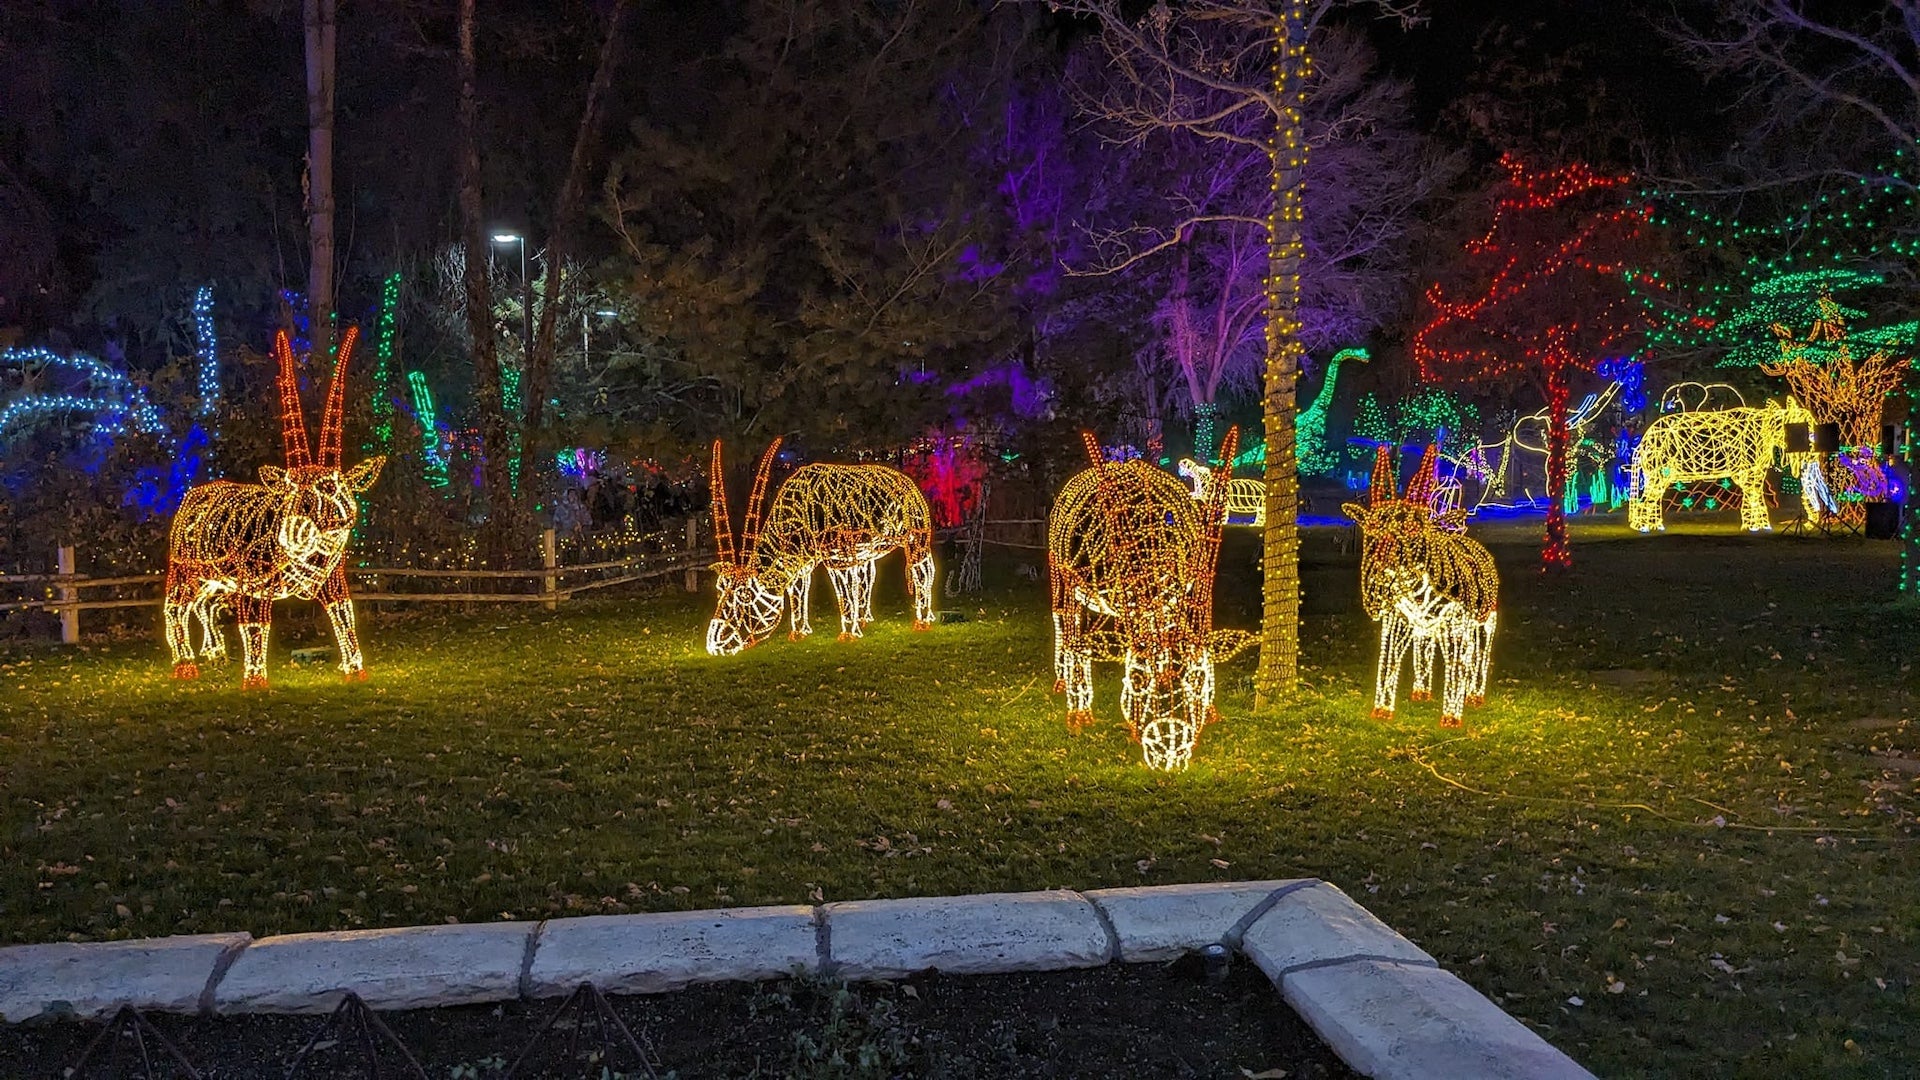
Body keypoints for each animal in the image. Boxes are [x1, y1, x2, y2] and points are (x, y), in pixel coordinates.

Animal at [167, 322, 387, 684]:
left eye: (330, 485)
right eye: (288, 486)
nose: (295, 532)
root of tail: (189, 497)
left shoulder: (333, 583)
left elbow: (345, 620)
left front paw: (354, 669)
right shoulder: (254, 588)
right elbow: (256, 626)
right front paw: (255, 679)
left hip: (217, 581)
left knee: (204, 606)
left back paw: (215, 654)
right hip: (185, 573)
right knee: (176, 609)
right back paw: (184, 664)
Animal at [710, 440, 940, 657]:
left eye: (745, 595)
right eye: (719, 588)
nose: (715, 643)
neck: (801, 510)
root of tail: (908, 483)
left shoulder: (838, 560)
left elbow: (845, 596)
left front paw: (847, 635)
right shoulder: (802, 565)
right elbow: (798, 597)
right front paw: (799, 633)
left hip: (917, 539)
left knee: (924, 573)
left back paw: (923, 620)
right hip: (867, 552)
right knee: (868, 576)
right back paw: (866, 619)